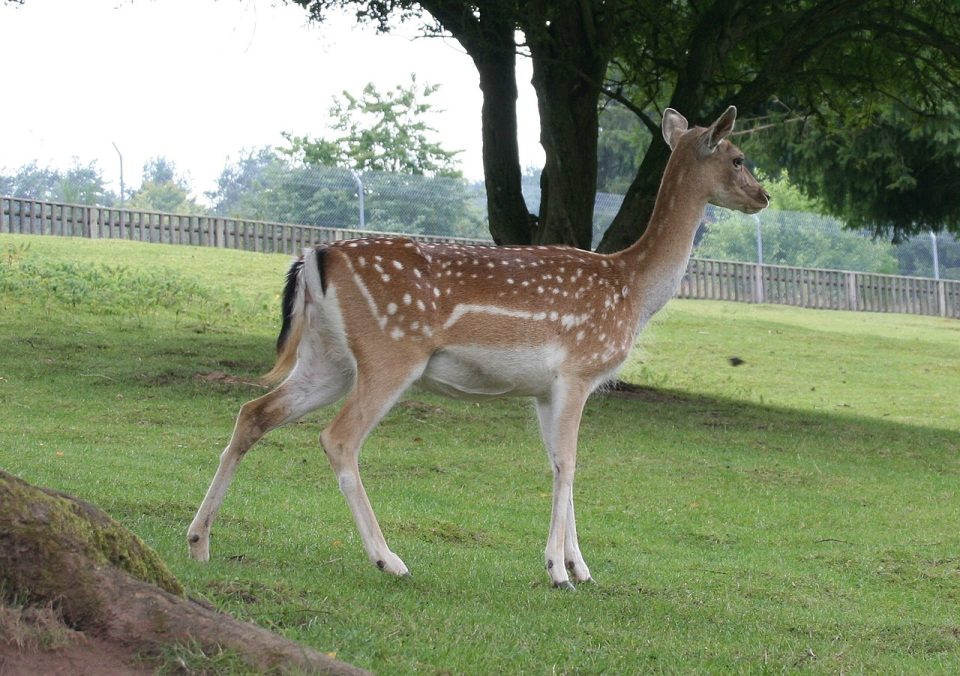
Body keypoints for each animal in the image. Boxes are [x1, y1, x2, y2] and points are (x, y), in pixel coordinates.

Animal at [189, 105, 772, 588]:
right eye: (738, 157)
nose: (764, 195)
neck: (631, 290)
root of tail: (313, 256)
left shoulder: (544, 390)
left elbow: (559, 462)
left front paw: (581, 568)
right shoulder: (578, 371)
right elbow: (570, 463)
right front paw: (558, 570)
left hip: (326, 358)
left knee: (253, 411)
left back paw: (198, 540)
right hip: (390, 351)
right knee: (338, 438)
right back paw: (389, 559)